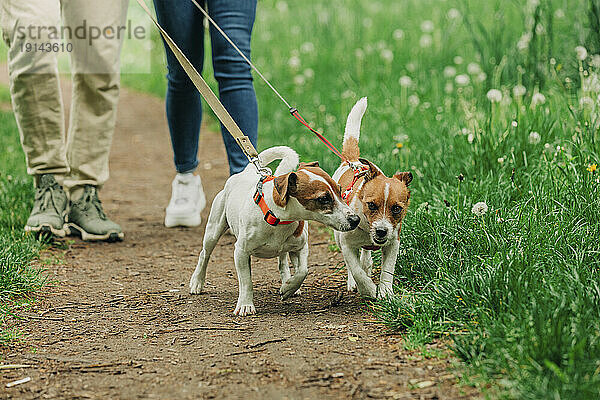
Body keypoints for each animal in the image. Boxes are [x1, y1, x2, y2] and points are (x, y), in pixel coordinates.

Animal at [191, 146, 360, 316]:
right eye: (323, 199)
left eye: (340, 190)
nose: (355, 219)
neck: (278, 217)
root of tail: (246, 172)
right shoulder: (241, 252)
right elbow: (246, 281)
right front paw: (246, 304)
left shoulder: (301, 247)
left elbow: (303, 271)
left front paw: (289, 287)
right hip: (213, 230)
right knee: (204, 255)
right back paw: (197, 281)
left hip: (286, 248)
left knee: (283, 262)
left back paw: (288, 282)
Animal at [332, 98, 412, 300]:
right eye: (371, 205)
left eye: (397, 208)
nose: (382, 231)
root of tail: (351, 161)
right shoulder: (346, 244)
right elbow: (355, 270)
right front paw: (367, 288)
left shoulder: (393, 243)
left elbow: (388, 270)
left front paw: (386, 292)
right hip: (338, 236)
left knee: (365, 256)